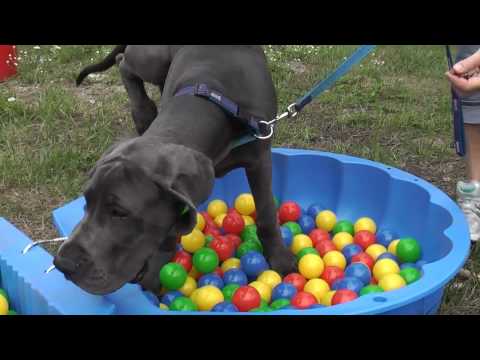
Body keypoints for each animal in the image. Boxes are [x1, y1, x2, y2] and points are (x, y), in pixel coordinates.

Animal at [53, 45, 296, 296]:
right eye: (87, 201)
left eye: (120, 212)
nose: (62, 264)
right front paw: (155, 274)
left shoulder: (260, 157)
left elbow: (266, 211)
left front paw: (280, 258)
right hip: (153, 59)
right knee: (123, 60)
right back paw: (143, 111)